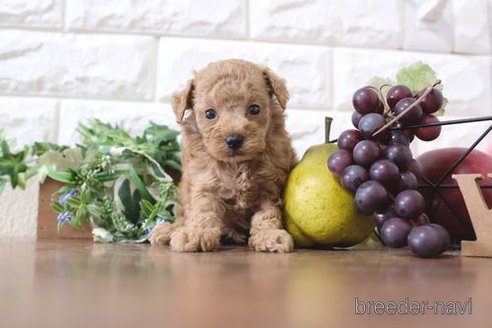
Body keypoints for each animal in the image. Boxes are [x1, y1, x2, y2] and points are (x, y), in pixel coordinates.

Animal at [149, 59, 296, 252]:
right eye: (210, 114)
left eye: (254, 109)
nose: (234, 139)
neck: (236, 164)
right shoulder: (205, 182)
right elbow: (203, 211)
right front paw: (197, 234)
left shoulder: (269, 187)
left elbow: (267, 215)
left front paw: (269, 236)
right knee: (182, 217)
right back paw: (168, 230)